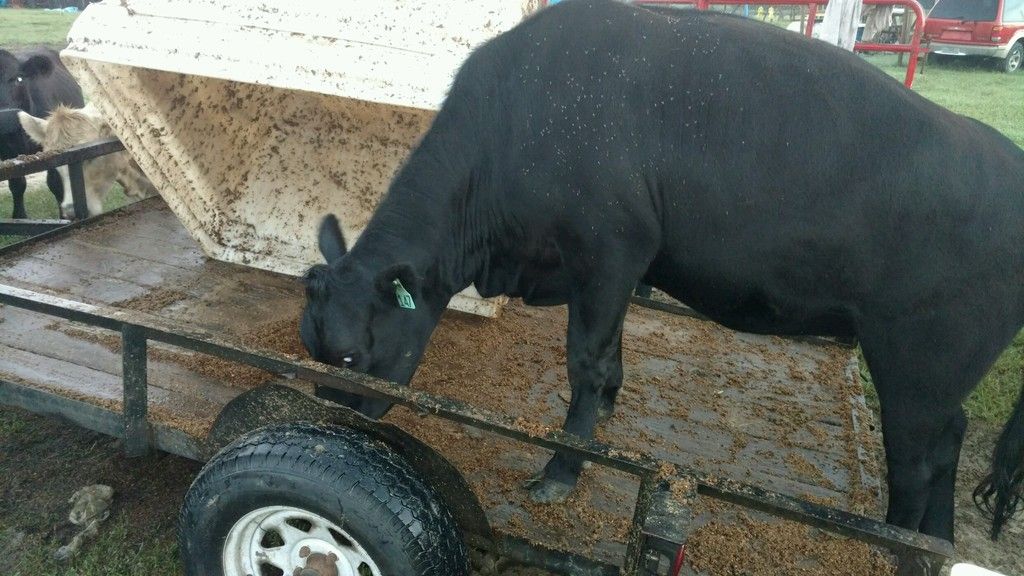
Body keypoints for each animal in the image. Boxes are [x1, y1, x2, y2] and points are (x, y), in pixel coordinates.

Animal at [0, 48, 84, 219]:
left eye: (18, 79)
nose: (5, 117)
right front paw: (19, 216)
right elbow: (16, 183)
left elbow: (55, 183)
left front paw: (64, 217)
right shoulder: (7, 152)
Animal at [300, 0, 1024, 550]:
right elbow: (611, 350)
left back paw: (890, 544)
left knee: (918, 464)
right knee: (950, 440)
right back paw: (936, 544)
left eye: (352, 355)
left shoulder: (611, 249)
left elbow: (586, 361)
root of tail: (1003, 154)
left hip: (917, 362)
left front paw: (564, 468)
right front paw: (607, 410)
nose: (333, 430)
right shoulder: (613, 269)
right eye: (309, 348)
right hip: (935, 374)